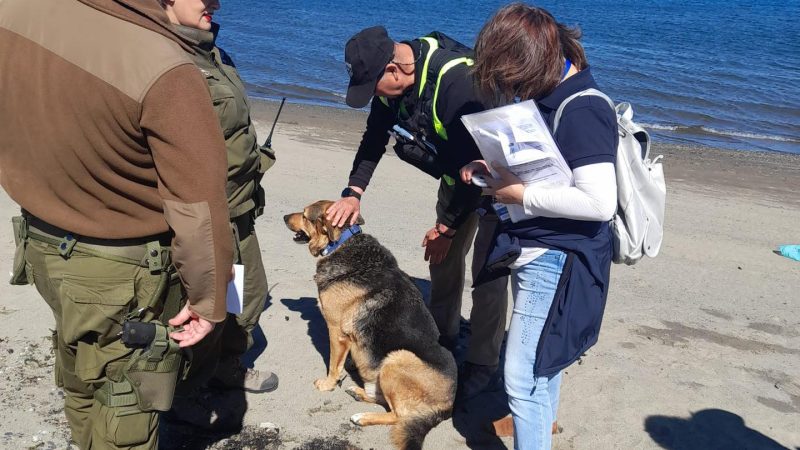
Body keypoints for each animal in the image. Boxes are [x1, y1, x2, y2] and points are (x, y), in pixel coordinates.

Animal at [284, 201, 456, 450]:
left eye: (305, 215)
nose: (284, 217)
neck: (342, 243)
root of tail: (448, 405)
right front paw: (349, 368)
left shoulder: (336, 331)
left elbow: (333, 365)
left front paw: (328, 384)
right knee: (381, 398)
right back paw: (358, 391)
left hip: (396, 359)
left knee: (398, 415)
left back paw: (362, 417)